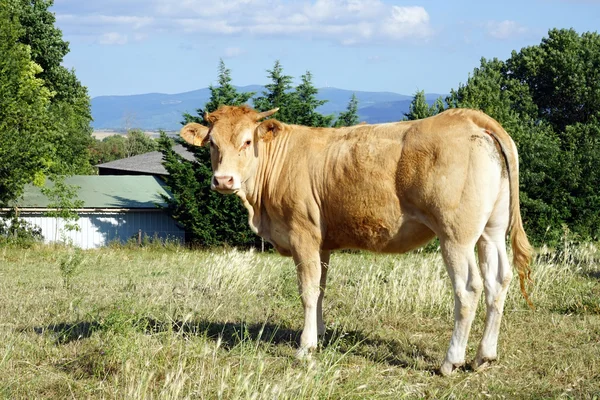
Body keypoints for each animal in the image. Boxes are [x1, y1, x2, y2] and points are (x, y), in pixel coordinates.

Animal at [180, 105, 532, 376]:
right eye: (212, 144)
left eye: (247, 140)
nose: (223, 180)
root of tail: (468, 116)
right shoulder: (322, 242)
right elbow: (320, 289)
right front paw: (319, 334)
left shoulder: (303, 234)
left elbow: (307, 291)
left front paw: (305, 347)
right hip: (491, 229)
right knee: (498, 281)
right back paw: (484, 356)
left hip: (455, 234)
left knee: (469, 288)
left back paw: (451, 361)